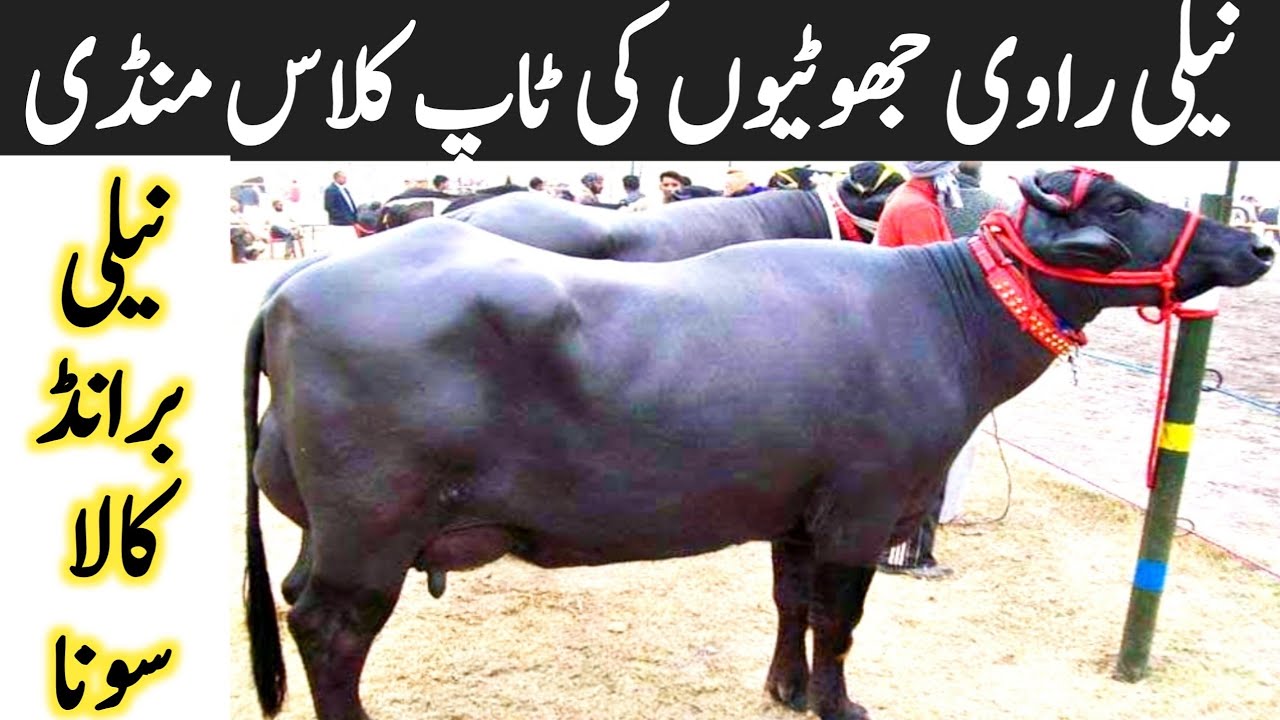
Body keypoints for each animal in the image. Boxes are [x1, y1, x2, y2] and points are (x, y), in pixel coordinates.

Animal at [242, 167, 1272, 720]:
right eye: (1126, 204)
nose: (1254, 248)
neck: (942, 313)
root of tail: (293, 287)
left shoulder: (797, 515)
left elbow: (790, 604)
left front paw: (785, 686)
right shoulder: (861, 511)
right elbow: (839, 619)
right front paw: (836, 700)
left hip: (330, 536)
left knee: (296, 602)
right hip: (371, 534)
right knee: (330, 632)